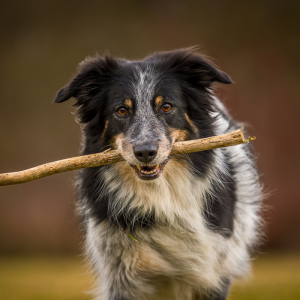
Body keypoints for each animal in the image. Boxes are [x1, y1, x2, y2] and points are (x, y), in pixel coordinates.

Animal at [54, 48, 262, 298]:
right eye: (121, 110)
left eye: (166, 106)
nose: (145, 152)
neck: (160, 194)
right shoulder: (121, 278)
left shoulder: (213, 274)